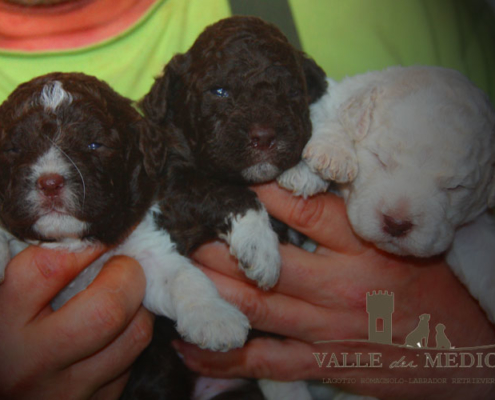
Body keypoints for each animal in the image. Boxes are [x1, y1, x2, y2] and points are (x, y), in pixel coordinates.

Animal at [280, 65, 495, 322]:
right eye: (379, 158)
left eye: (455, 187)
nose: (396, 224)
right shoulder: (336, 95)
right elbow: (331, 114)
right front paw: (327, 156)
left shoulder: (472, 225)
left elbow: (482, 252)